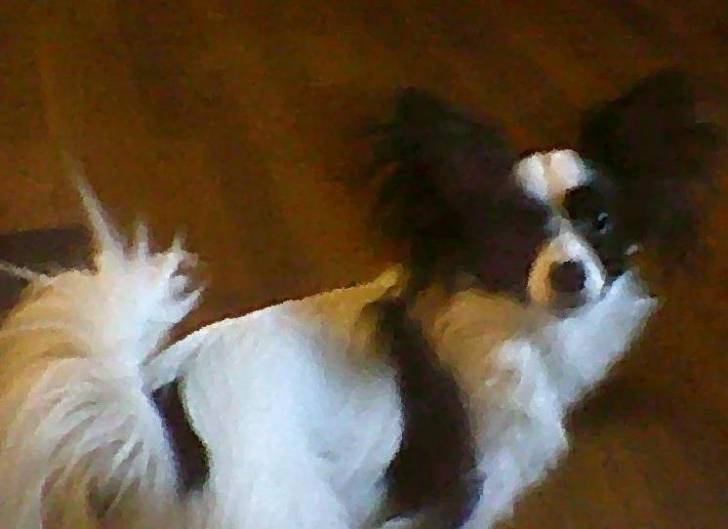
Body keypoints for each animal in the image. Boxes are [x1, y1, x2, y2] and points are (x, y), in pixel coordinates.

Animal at [0, 70, 720, 529]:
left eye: (601, 223)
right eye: (515, 236)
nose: (572, 274)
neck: (511, 323)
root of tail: (163, 433)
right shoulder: (461, 493)